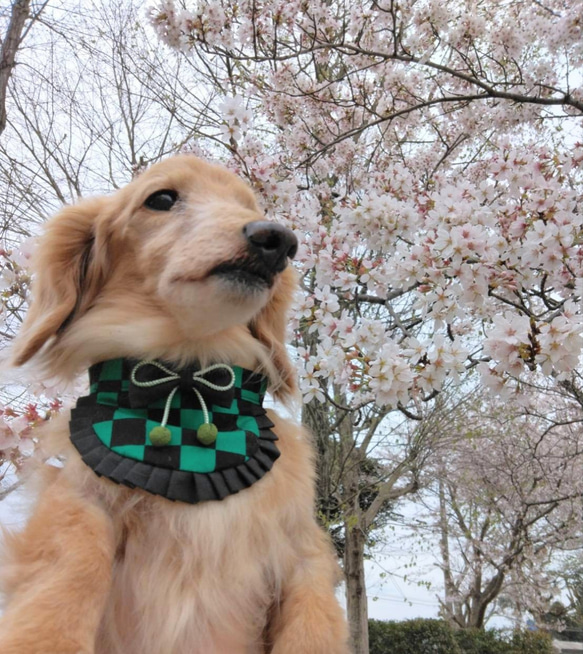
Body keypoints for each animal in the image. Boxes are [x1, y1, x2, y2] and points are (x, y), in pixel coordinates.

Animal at [0, 155, 350, 654]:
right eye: (161, 198)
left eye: (250, 207)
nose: (278, 240)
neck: (187, 383)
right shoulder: (80, 496)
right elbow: (72, 565)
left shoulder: (304, 548)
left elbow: (312, 626)